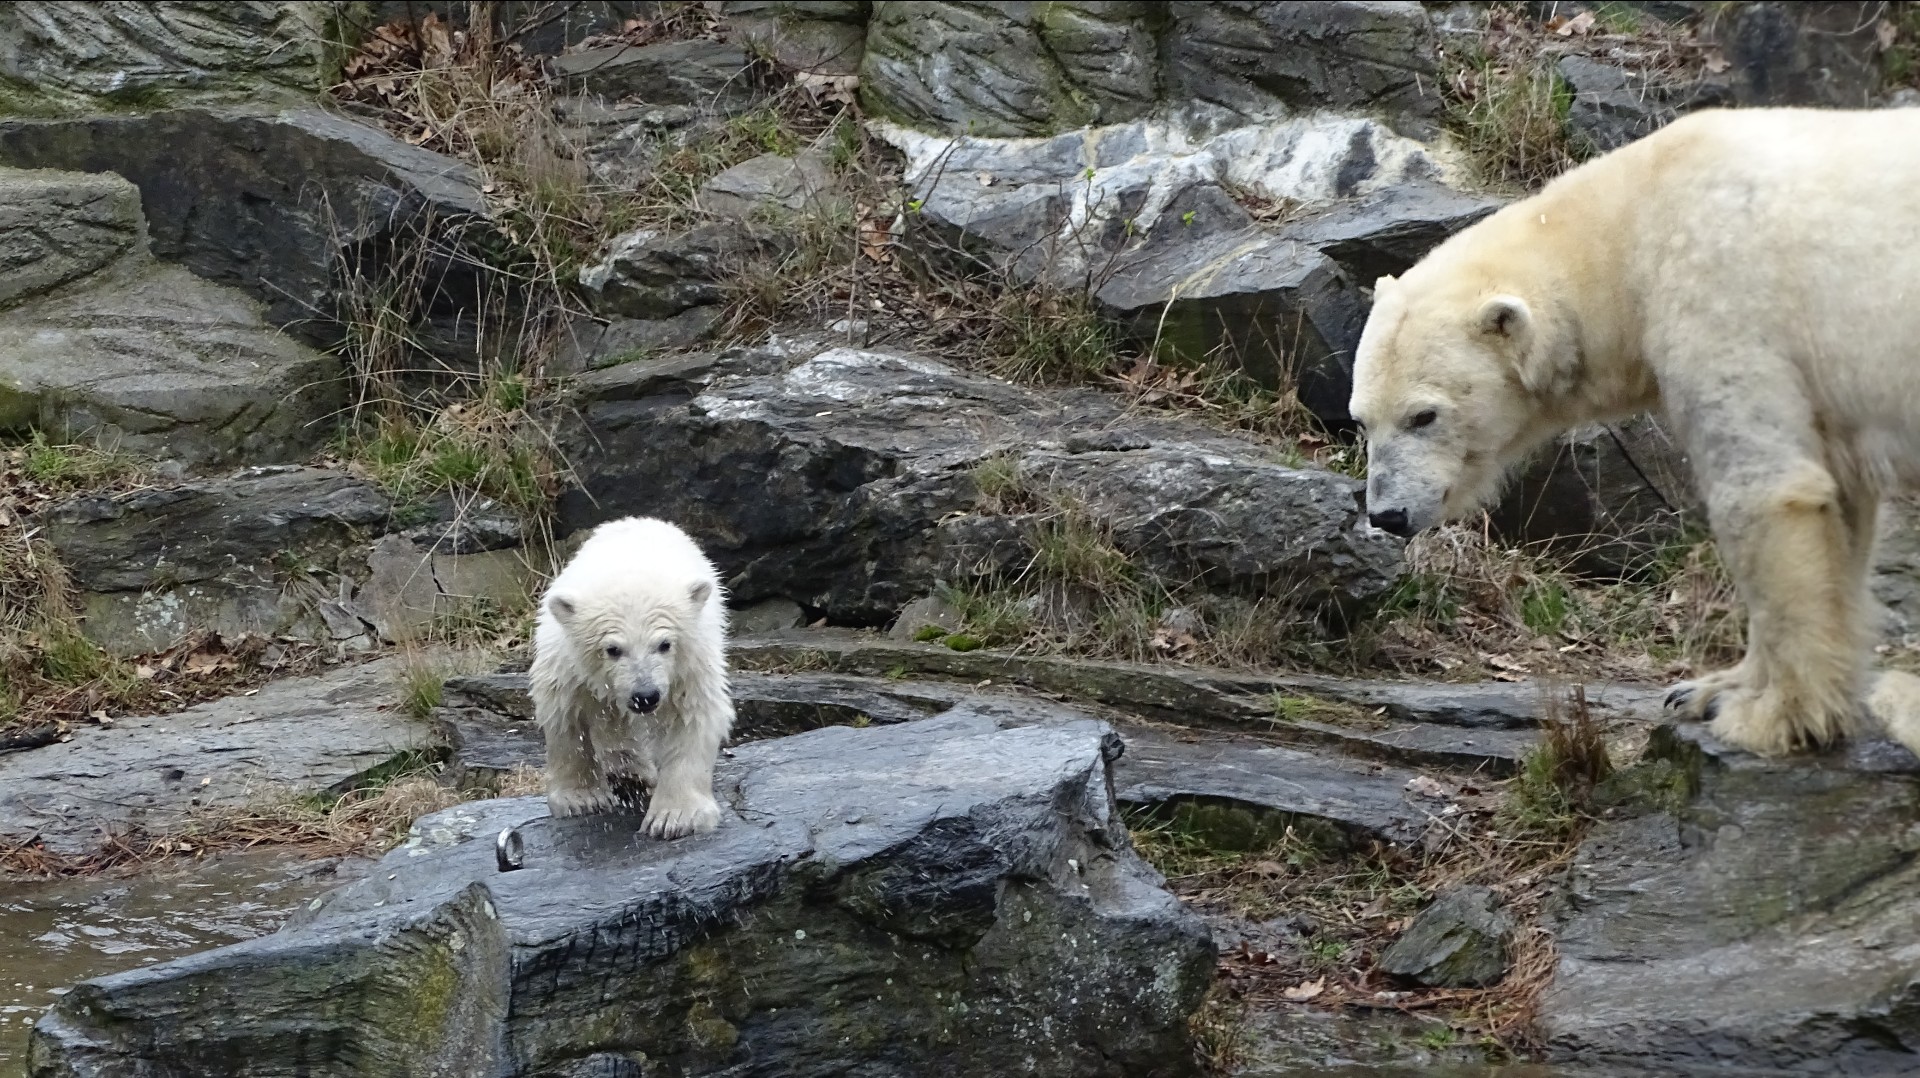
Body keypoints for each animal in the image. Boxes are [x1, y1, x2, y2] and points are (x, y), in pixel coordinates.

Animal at [1351, 105, 1920, 753]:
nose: (1387, 514)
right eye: (1362, 419)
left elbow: (1766, 493)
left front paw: (1770, 715)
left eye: (1424, 415)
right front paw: (1710, 688)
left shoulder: (1725, 296)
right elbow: (1836, 506)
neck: (1631, 223)